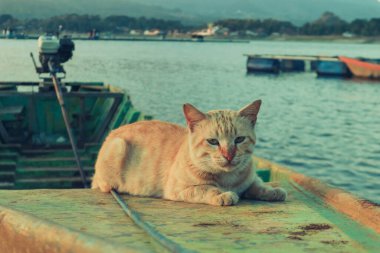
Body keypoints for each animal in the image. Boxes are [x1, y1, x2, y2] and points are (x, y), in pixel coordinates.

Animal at [92, 99, 286, 206]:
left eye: (239, 139)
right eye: (213, 141)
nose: (228, 155)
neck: (228, 179)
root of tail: (113, 133)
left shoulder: (250, 180)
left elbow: (257, 185)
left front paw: (272, 191)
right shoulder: (178, 189)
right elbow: (206, 189)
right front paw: (223, 195)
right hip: (118, 147)